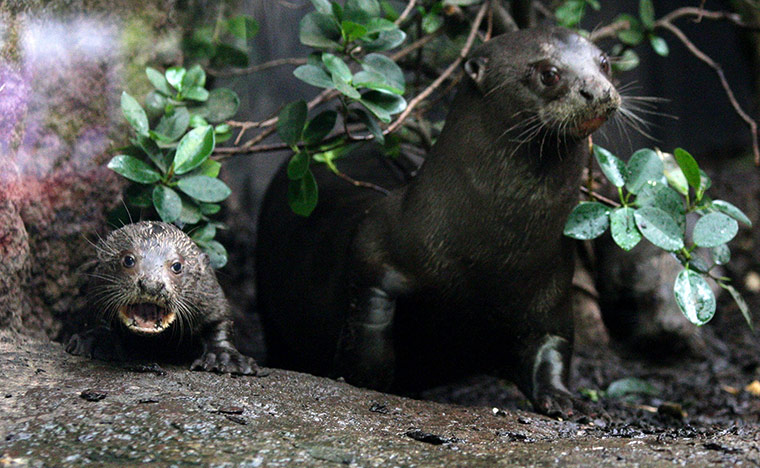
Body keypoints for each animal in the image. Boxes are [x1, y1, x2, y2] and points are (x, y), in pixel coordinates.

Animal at [67, 221, 258, 375]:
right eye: (128, 259)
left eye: (177, 266)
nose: (151, 284)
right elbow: (98, 314)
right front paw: (98, 341)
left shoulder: (211, 298)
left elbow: (220, 323)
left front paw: (224, 358)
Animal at [256, 27, 619, 415]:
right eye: (549, 73)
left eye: (604, 63)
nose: (598, 91)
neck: (490, 255)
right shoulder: (374, 250)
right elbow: (371, 321)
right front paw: (366, 379)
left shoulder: (552, 296)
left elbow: (553, 348)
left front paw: (564, 398)